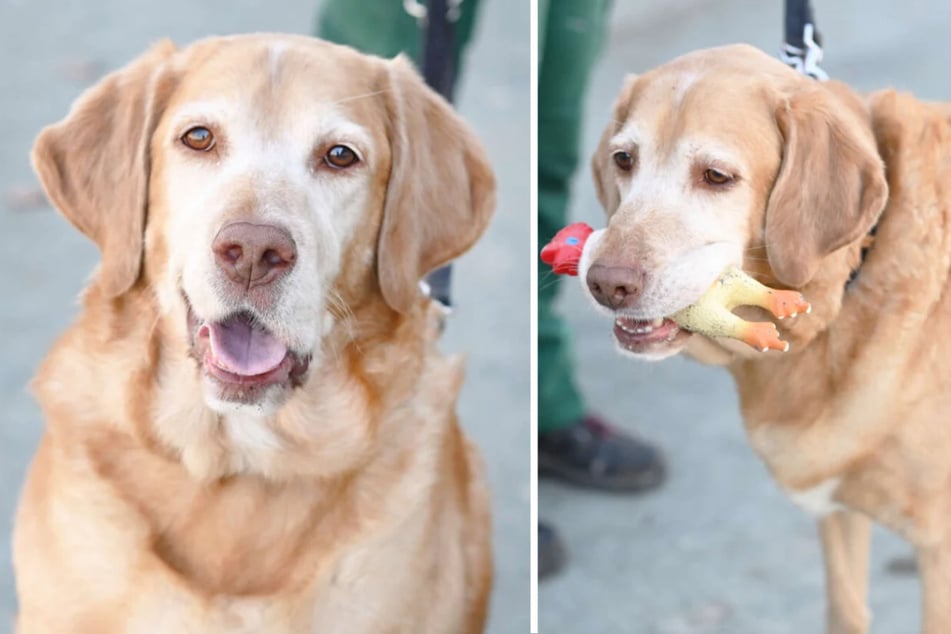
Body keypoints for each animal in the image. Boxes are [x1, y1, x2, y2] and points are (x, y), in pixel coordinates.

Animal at [584, 44, 951, 632]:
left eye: (716, 176)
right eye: (624, 160)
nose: (606, 283)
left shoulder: (938, 551)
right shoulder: (837, 510)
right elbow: (846, 610)